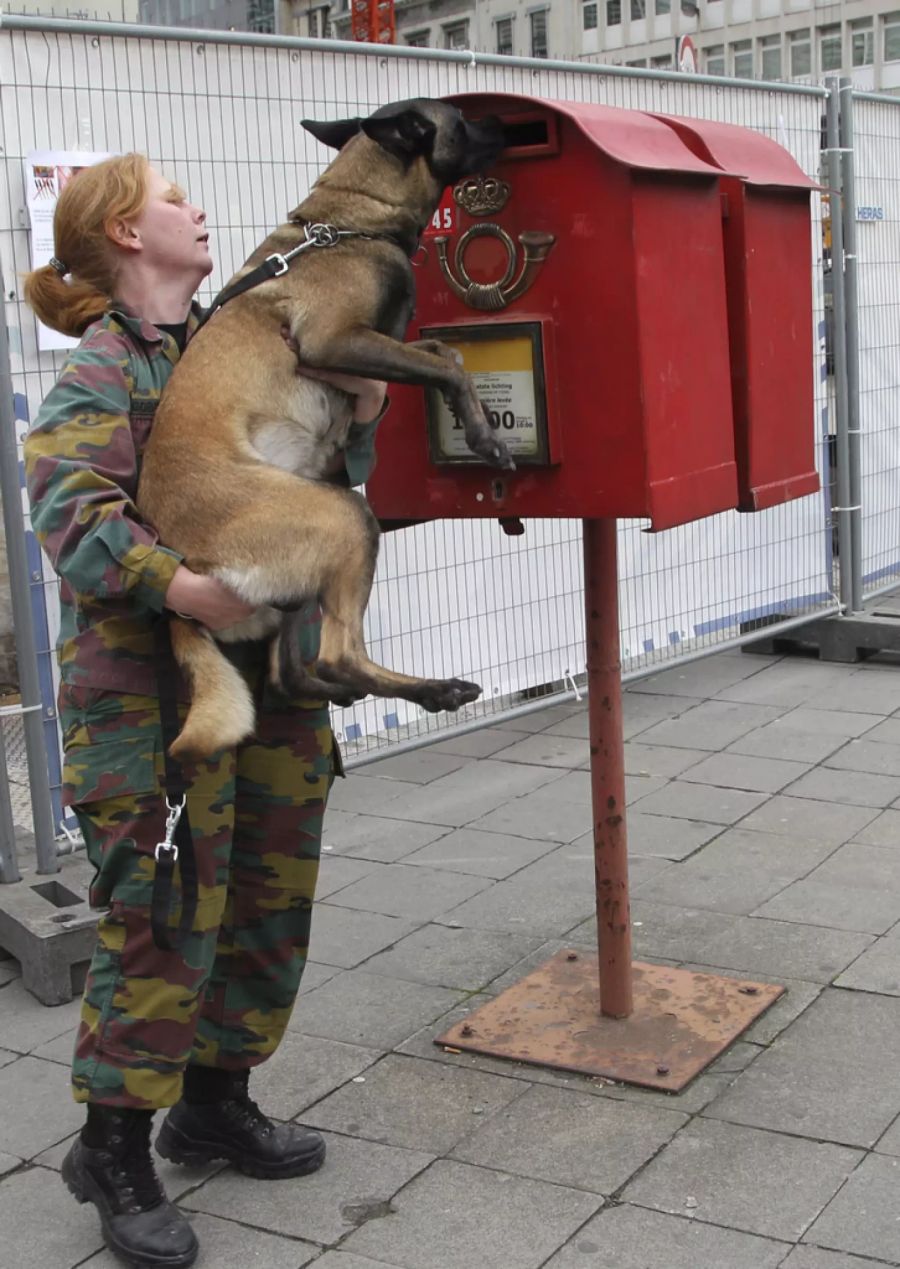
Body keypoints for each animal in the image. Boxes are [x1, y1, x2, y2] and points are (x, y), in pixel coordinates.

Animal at [137, 98, 510, 756]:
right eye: (464, 120)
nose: (511, 126)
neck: (351, 220)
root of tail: (182, 562)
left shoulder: (381, 342)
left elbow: (445, 353)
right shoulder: (331, 340)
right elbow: (447, 365)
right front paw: (484, 434)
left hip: (307, 563)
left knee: (288, 675)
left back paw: (375, 694)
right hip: (345, 517)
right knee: (337, 655)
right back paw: (432, 688)